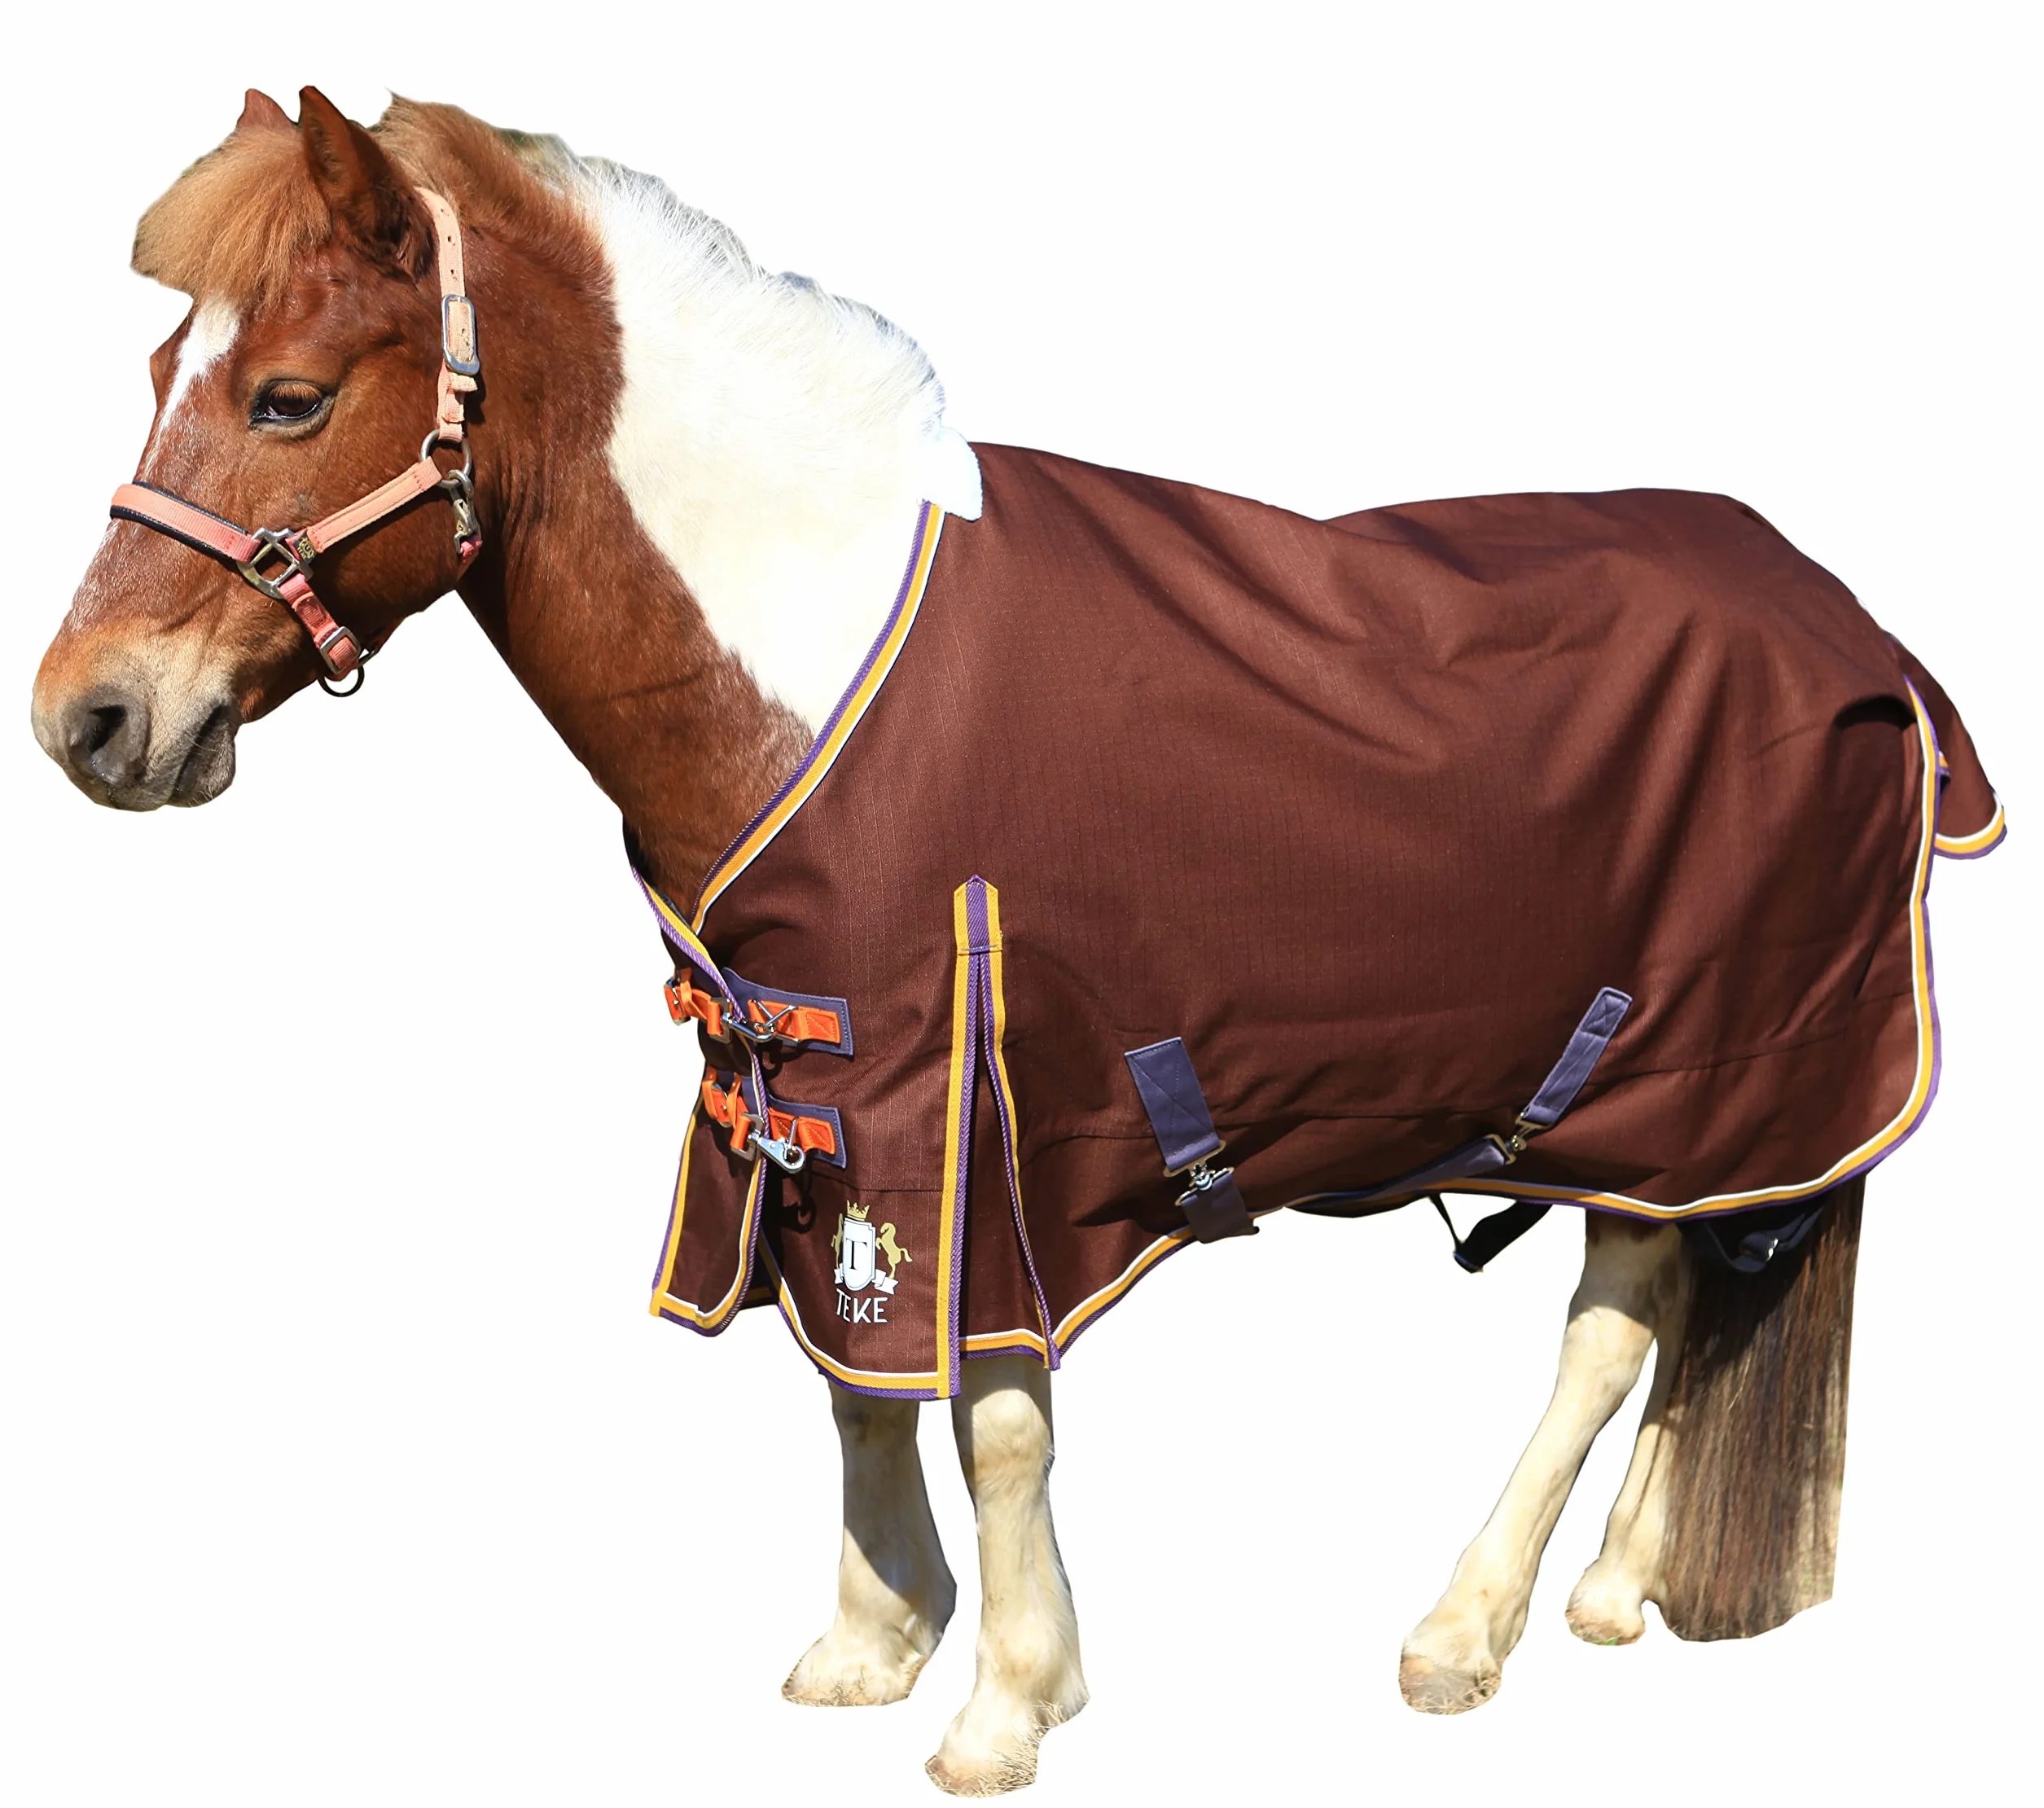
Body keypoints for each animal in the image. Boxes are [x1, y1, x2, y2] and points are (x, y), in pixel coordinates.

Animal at [29, 88, 2003, 1796]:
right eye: (159, 372)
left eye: (288, 398)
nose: (89, 720)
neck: (803, 639)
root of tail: (1849, 624)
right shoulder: (804, 1077)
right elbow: (851, 1379)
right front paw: (873, 1642)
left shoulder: (982, 1095)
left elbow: (988, 1406)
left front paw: (1006, 1704)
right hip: (1688, 1105)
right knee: (1702, 1298)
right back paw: (1610, 1592)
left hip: (1691, 1068)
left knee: (1615, 1320)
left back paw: (1466, 1629)